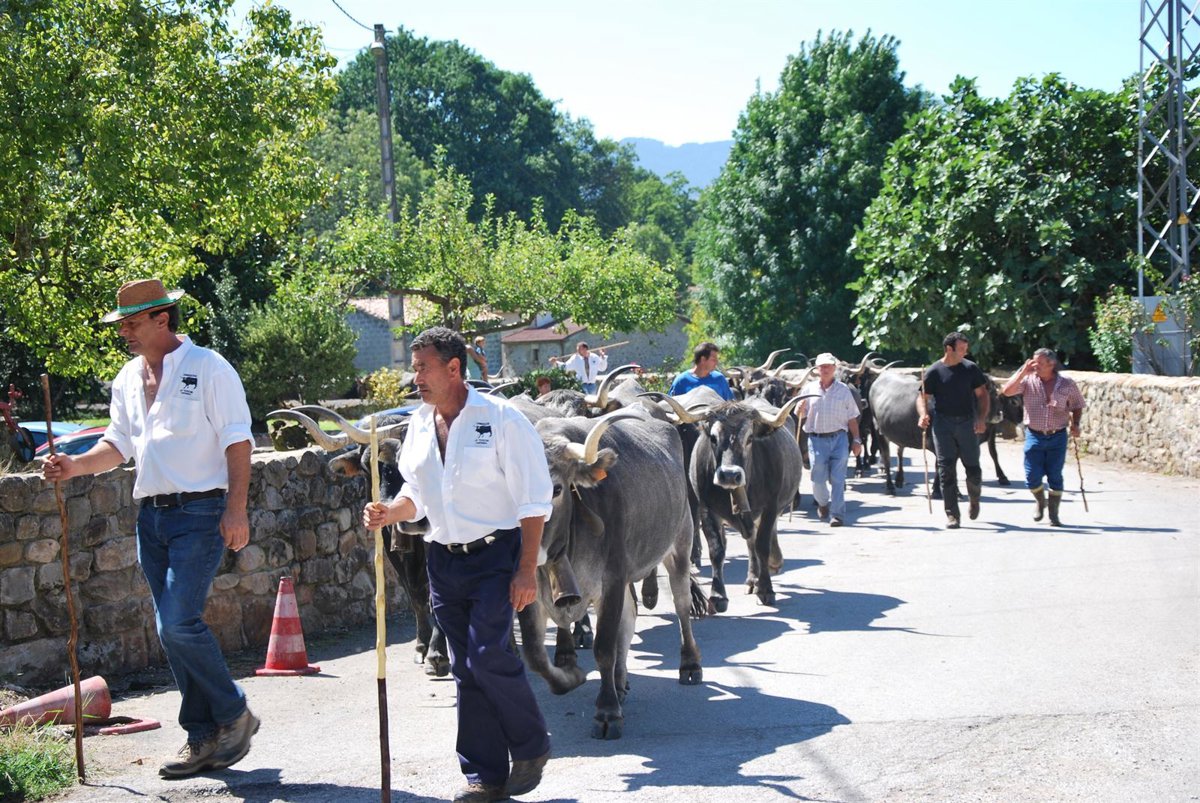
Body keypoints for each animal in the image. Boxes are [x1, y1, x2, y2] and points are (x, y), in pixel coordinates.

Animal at [517, 407, 705, 740]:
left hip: (680, 546)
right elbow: (535, 654)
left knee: (682, 606)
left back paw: (690, 665)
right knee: (628, 621)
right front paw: (571, 677)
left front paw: (607, 711)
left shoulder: (612, 580)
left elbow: (604, 646)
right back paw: (619, 681)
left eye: (556, 489)